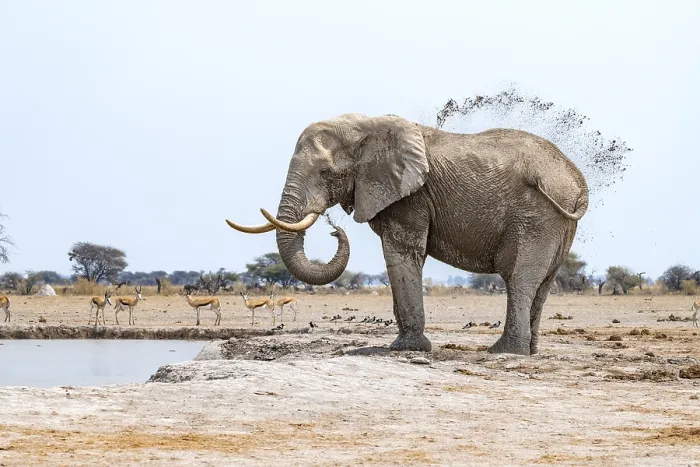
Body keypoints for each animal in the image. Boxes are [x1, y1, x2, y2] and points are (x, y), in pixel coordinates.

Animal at [226, 113, 589, 355]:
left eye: (326, 173)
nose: (334, 230)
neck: (367, 127)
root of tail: (577, 179)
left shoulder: (410, 197)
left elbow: (401, 253)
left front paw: (407, 348)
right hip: (558, 223)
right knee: (542, 285)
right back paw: (529, 351)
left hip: (536, 217)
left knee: (519, 278)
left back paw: (504, 351)